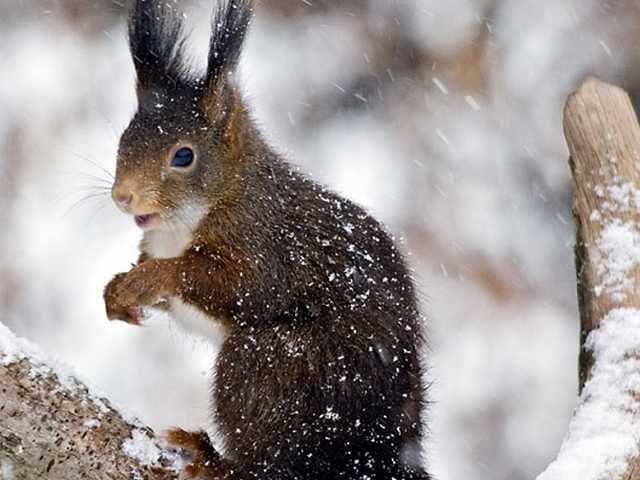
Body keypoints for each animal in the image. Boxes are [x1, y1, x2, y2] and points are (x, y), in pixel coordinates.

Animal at [105, 1, 432, 478]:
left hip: (273, 366)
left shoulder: (263, 244)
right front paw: (118, 291)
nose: (122, 197)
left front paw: (149, 279)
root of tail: (377, 450)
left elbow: (237, 285)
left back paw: (215, 460)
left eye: (183, 156)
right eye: (123, 140)